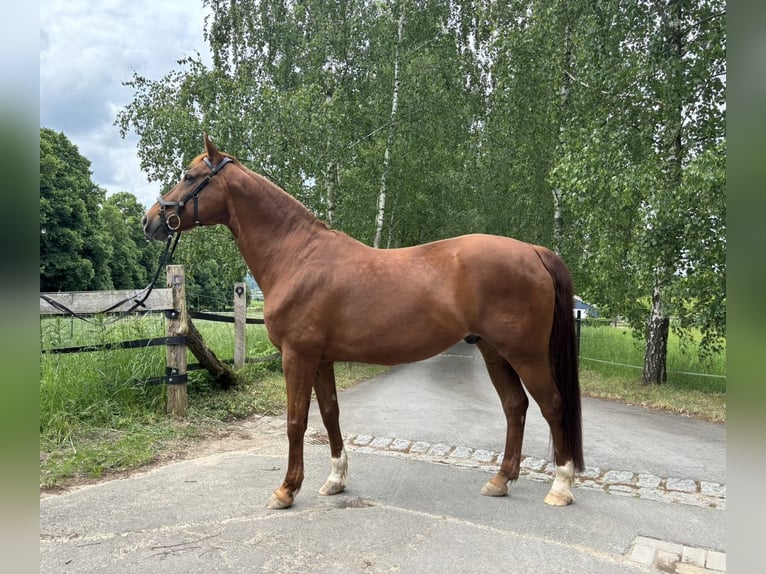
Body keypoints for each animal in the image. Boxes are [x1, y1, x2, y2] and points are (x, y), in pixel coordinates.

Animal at [144, 136, 584, 512]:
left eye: (189, 176)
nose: (151, 221)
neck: (297, 256)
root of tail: (535, 250)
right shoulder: (320, 359)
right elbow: (330, 414)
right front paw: (336, 479)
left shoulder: (297, 356)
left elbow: (295, 421)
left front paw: (286, 489)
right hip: (495, 352)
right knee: (515, 407)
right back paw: (500, 480)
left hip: (525, 354)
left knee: (551, 404)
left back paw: (561, 487)